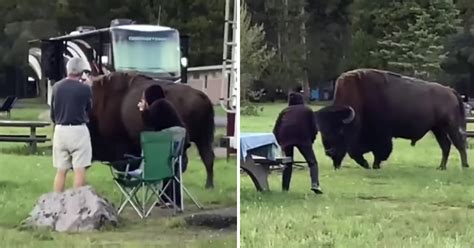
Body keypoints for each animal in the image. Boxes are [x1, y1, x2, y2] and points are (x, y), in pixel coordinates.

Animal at [87, 71, 217, 188]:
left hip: (200, 138)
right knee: (208, 157)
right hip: (203, 138)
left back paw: (207, 185)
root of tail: (203, 97)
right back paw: (209, 186)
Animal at [314, 69, 466, 170]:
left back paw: (464, 166)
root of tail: (450, 91)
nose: (329, 152)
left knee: (459, 143)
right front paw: (368, 164)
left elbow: (378, 151)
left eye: (340, 131)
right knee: (446, 145)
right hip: (437, 129)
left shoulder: (381, 135)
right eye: (323, 131)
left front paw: (372, 165)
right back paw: (441, 167)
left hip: (450, 126)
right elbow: (357, 152)